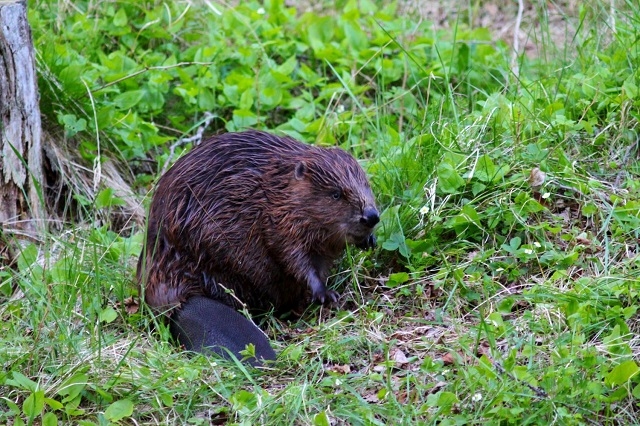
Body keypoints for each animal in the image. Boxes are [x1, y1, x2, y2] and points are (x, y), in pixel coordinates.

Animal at [138, 128, 378, 364]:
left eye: (366, 184)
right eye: (336, 194)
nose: (371, 216)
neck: (275, 188)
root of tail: (183, 302)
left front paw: (369, 241)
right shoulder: (278, 221)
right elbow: (293, 257)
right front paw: (326, 294)